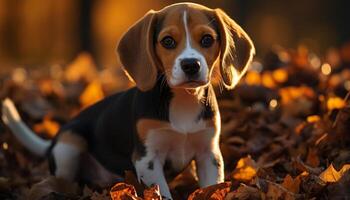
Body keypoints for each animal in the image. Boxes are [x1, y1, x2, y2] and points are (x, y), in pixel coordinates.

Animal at [0, 2, 254, 199]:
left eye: (207, 39)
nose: (190, 64)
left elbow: (211, 186)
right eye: (168, 41)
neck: (183, 100)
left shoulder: (209, 154)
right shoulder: (147, 158)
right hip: (68, 145)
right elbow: (161, 191)